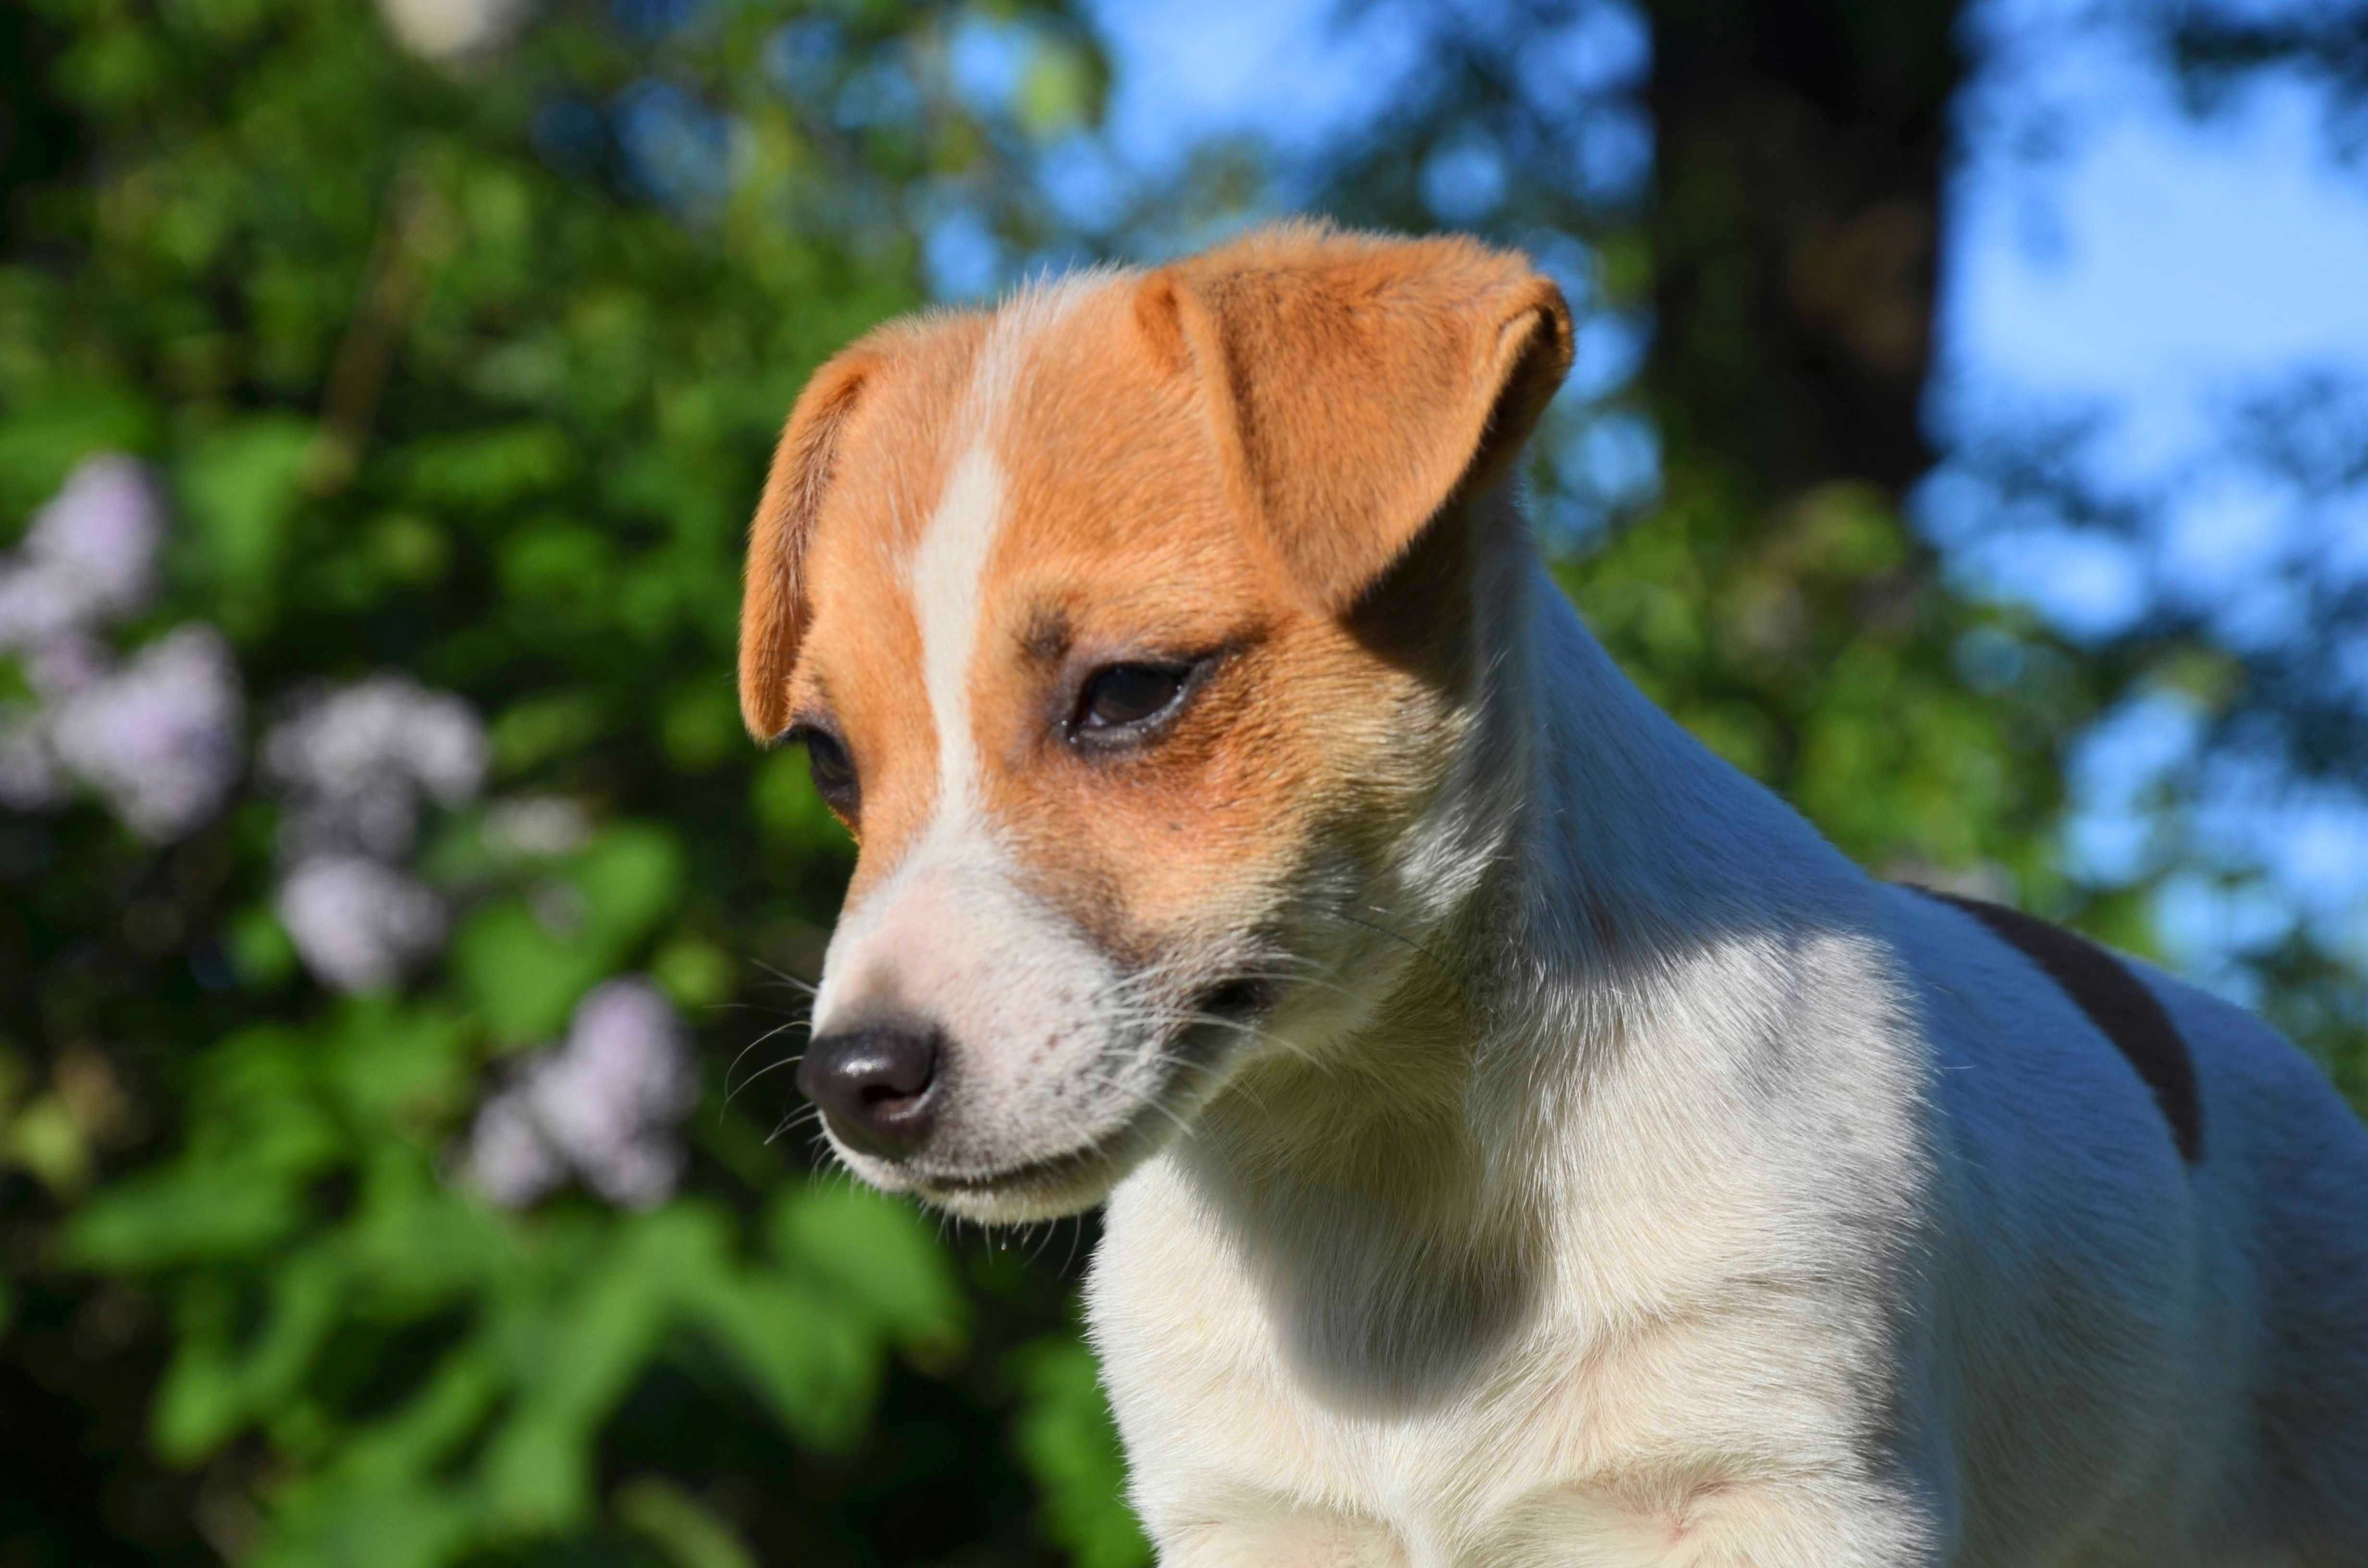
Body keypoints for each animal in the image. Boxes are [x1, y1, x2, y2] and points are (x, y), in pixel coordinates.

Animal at [734, 223, 2368, 1568]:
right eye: (828, 761)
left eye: (1131, 690)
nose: (855, 1080)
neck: (1377, 1152)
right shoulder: (1260, 1523)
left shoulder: (1776, 1489)